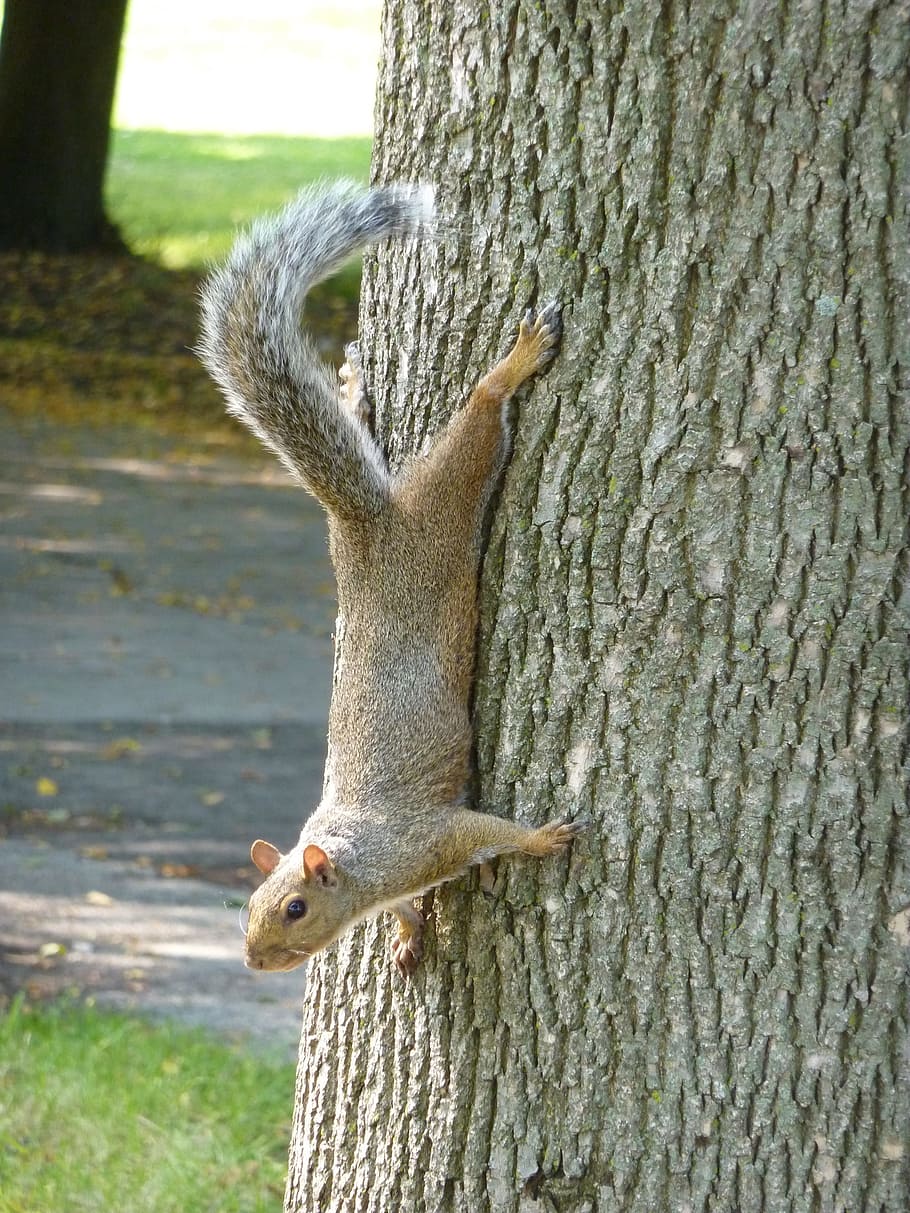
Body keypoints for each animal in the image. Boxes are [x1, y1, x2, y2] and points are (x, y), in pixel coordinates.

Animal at [198, 181, 583, 977]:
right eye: (249, 905)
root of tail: (367, 521)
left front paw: (541, 838)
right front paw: (407, 934)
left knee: (479, 419)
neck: (359, 865)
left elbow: (485, 831)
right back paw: (351, 390)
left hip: (444, 510)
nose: (254, 961)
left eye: (294, 907)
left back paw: (515, 363)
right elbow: (402, 910)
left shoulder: (426, 841)